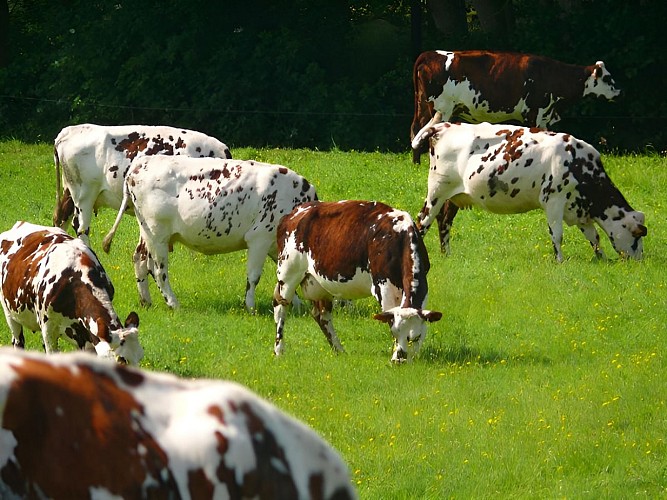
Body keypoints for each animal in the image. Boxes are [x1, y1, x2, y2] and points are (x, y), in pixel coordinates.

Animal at [102, 156, 318, 311]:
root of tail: (140, 163)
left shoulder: (275, 246)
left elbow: (286, 276)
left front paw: (294, 304)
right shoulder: (260, 238)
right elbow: (254, 276)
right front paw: (250, 307)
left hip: (147, 232)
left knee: (140, 260)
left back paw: (146, 301)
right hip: (157, 234)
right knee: (158, 270)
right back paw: (174, 303)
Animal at [273, 200, 442, 363]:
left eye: (415, 337)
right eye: (394, 333)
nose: (399, 361)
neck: (399, 236)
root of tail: (294, 213)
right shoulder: (383, 286)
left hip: (320, 284)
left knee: (321, 315)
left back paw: (339, 350)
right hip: (288, 273)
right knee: (280, 307)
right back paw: (279, 351)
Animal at [411, 50, 621, 163]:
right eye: (608, 78)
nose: (620, 92)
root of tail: (429, 54)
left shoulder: (544, 115)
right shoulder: (533, 113)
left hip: (425, 107)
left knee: (416, 130)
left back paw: (416, 163)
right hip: (442, 109)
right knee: (429, 134)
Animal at [411, 121, 647, 262]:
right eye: (637, 236)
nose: (638, 261)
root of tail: (444, 125)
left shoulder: (579, 208)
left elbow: (594, 236)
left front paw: (602, 259)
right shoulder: (553, 200)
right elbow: (557, 234)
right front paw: (560, 261)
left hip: (454, 196)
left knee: (444, 221)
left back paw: (447, 255)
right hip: (437, 190)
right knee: (423, 221)